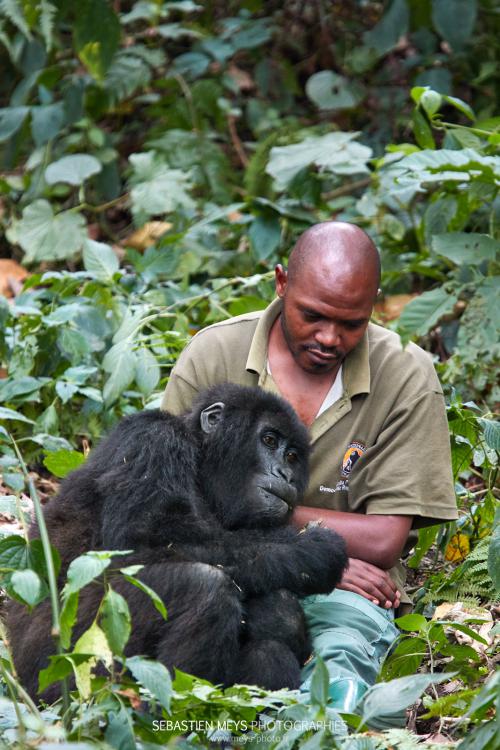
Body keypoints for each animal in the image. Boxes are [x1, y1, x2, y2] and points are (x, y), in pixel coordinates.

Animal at [6, 384, 348, 704]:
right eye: (269, 441)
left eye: (292, 456)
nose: (285, 474)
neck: (201, 460)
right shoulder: (153, 441)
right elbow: (144, 543)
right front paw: (312, 550)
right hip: (61, 670)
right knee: (204, 587)